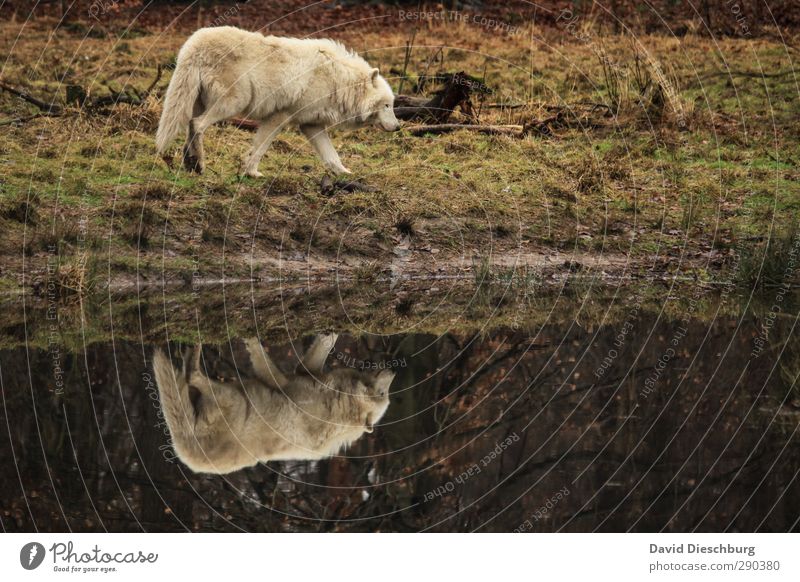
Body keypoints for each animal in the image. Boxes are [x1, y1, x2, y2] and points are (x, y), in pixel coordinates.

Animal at [151, 336, 394, 476]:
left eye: (384, 393)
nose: (393, 370)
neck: (341, 408)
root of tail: (187, 451)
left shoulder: (285, 383)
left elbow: (262, 360)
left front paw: (250, 338)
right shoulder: (306, 373)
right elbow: (326, 342)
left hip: (234, 399)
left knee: (193, 376)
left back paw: (193, 355)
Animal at [155, 26, 400, 178]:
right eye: (387, 105)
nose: (398, 127)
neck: (339, 81)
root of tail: (193, 44)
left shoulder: (311, 125)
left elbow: (331, 156)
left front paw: (345, 174)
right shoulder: (280, 116)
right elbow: (260, 148)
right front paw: (251, 172)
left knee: (190, 126)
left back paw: (191, 164)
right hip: (234, 103)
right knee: (197, 124)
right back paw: (200, 164)